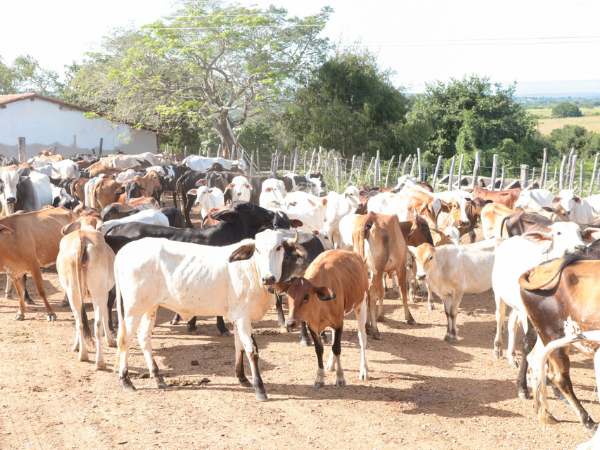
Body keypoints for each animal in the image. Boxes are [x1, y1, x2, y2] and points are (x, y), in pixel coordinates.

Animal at [115, 230, 308, 400]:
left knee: (143, 337)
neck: (252, 271)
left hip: (150, 307)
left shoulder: (237, 318)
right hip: (133, 308)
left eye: (279, 248)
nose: (268, 278)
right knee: (125, 340)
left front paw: (242, 377)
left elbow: (239, 347)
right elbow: (252, 351)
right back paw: (126, 380)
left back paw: (157, 376)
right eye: (258, 250)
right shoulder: (242, 317)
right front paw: (260, 389)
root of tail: (123, 251)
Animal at [268, 250, 368, 386]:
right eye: (288, 295)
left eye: (306, 296)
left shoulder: (338, 323)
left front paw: (340, 377)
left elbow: (337, 348)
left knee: (362, 337)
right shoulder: (312, 325)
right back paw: (331, 364)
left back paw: (364, 370)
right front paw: (319, 377)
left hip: (361, 304)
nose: (290, 323)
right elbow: (319, 349)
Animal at [492, 223, 600, 370]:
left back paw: (512, 356)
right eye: (559, 233)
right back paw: (497, 348)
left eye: (580, 233)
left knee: (512, 322)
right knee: (500, 316)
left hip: (516, 304)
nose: (582, 248)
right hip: (499, 294)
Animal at [516, 258, 600, 434]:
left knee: (535, 360)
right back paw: (587, 420)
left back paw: (543, 411)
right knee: (559, 377)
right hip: (554, 338)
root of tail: (536, 269)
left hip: (545, 337)